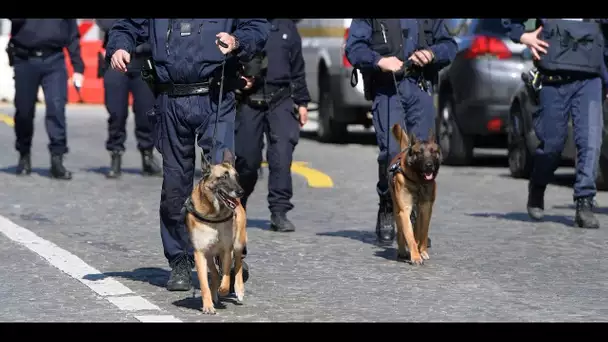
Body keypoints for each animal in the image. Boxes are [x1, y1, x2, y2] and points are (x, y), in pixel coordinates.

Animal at [188, 150, 249, 316]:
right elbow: (204, 284)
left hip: (238, 243)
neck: (214, 215)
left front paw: (224, 289)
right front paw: (208, 305)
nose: (241, 192)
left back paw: (238, 289)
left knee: (238, 263)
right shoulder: (200, 253)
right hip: (209, 256)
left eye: (236, 176)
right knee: (215, 274)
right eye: (223, 177)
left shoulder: (226, 250)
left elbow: (227, 275)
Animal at [390, 124, 442, 266]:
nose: (429, 165)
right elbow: (410, 236)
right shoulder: (404, 211)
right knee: (401, 232)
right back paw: (402, 251)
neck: (418, 182)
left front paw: (422, 251)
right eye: (419, 153)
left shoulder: (426, 209)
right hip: (397, 210)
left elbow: (422, 232)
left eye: (433, 151)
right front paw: (415, 256)